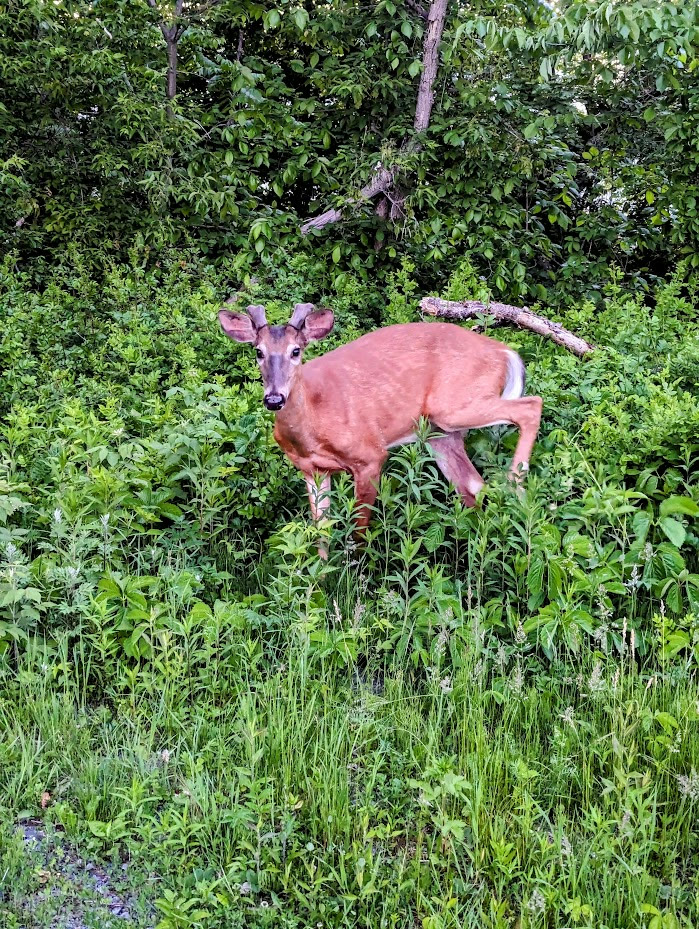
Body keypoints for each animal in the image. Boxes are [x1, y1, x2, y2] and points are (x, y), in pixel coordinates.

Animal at [218, 302, 542, 555]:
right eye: (258, 352)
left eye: (296, 351)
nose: (274, 398)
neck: (313, 424)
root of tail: (505, 352)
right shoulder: (312, 469)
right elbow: (321, 532)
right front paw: (319, 584)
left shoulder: (370, 456)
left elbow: (359, 528)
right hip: (441, 433)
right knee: (473, 485)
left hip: (455, 406)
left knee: (531, 405)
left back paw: (516, 485)